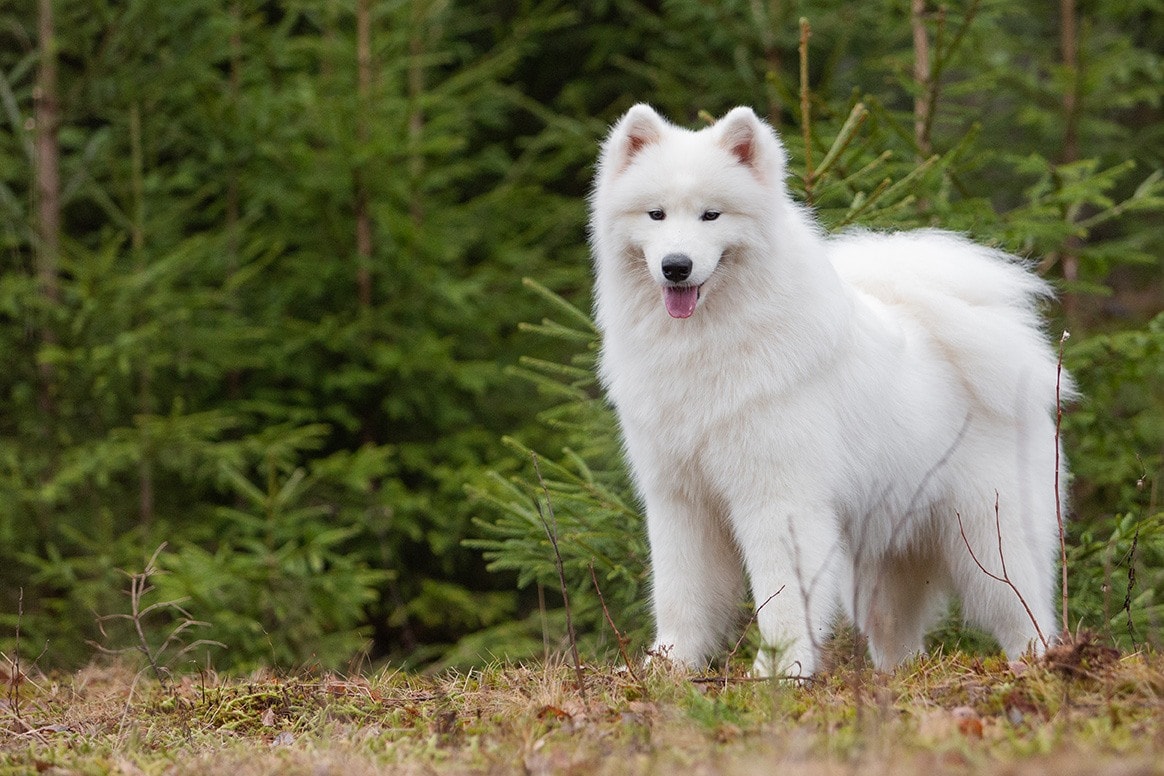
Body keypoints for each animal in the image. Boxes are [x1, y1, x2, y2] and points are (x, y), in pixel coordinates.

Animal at [591, 104, 1070, 679]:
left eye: (712, 215)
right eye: (656, 215)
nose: (676, 266)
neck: (706, 343)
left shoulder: (778, 499)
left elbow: (781, 598)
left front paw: (778, 672)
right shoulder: (680, 500)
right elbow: (681, 593)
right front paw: (669, 666)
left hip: (991, 538)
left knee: (1025, 611)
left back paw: (1041, 665)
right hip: (886, 563)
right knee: (899, 634)